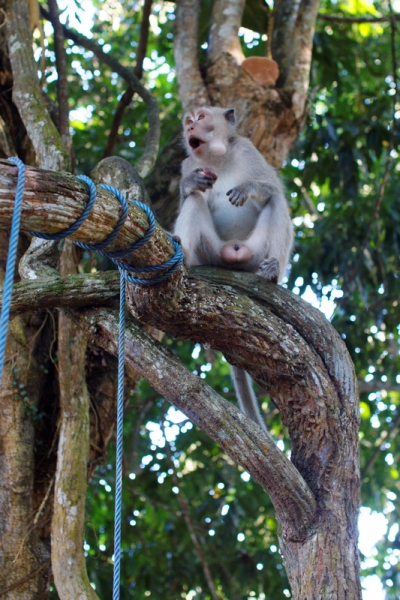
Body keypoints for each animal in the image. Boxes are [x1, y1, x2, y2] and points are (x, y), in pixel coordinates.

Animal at [173, 105, 292, 428]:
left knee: (276, 201)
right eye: (188, 121)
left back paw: (273, 271)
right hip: (212, 254)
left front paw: (248, 188)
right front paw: (188, 186)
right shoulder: (189, 165)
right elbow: (189, 194)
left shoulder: (248, 149)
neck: (216, 157)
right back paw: (182, 253)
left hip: (254, 253)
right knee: (195, 202)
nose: (190, 128)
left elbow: (272, 187)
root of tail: (235, 257)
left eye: (201, 117)